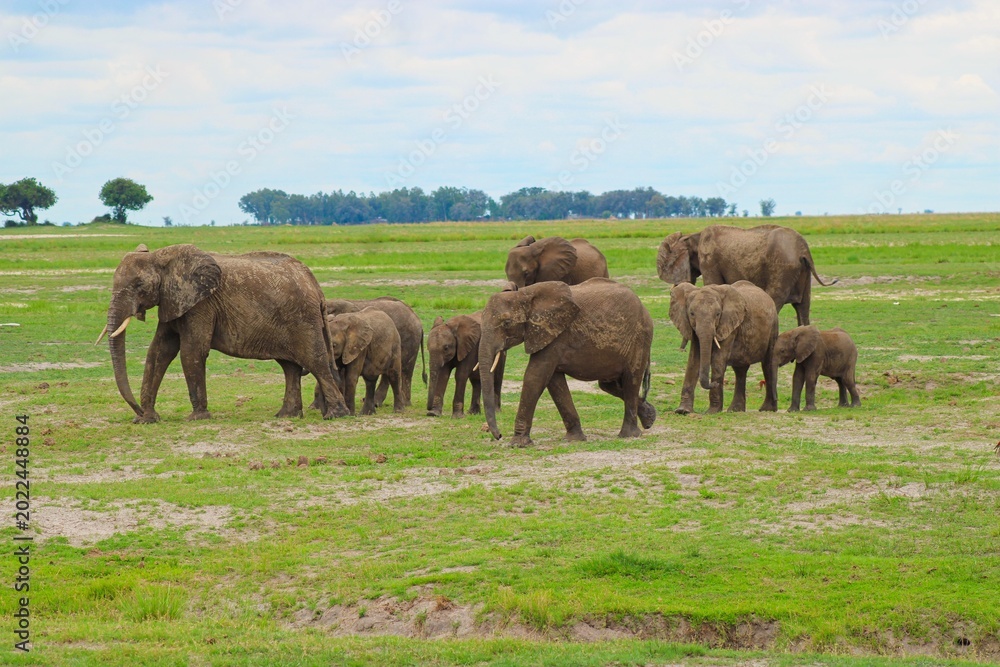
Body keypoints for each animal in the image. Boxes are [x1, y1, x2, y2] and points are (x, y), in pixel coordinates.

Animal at [100, 244, 349, 423]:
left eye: (139, 285)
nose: (138, 410)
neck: (161, 257)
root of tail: (315, 285)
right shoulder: (173, 301)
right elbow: (159, 352)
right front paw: (147, 420)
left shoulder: (201, 304)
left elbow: (191, 351)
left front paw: (197, 418)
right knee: (290, 367)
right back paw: (286, 415)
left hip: (303, 319)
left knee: (315, 362)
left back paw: (335, 415)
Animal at [478, 278, 656, 447]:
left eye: (506, 323)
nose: (499, 435)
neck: (524, 294)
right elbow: (554, 382)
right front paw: (574, 439)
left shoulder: (555, 334)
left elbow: (535, 376)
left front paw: (517, 444)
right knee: (609, 385)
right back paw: (650, 418)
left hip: (640, 339)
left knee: (631, 380)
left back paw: (629, 435)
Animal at [657, 224, 835, 326]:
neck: (693, 236)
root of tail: (804, 249)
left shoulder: (709, 261)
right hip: (803, 271)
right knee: (803, 307)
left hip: (782, 268)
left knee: (775, 299)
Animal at [669, 280, 779, 414]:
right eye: (692, 314)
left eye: (718, 314)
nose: (714, 383)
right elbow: (693, 361)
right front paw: (682, 411)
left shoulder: (729, 325)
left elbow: (718, 361)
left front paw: (712, 412)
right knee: (740, 370)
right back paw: (735, 410)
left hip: (773, 326)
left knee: (768, 365)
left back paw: (767, 409)